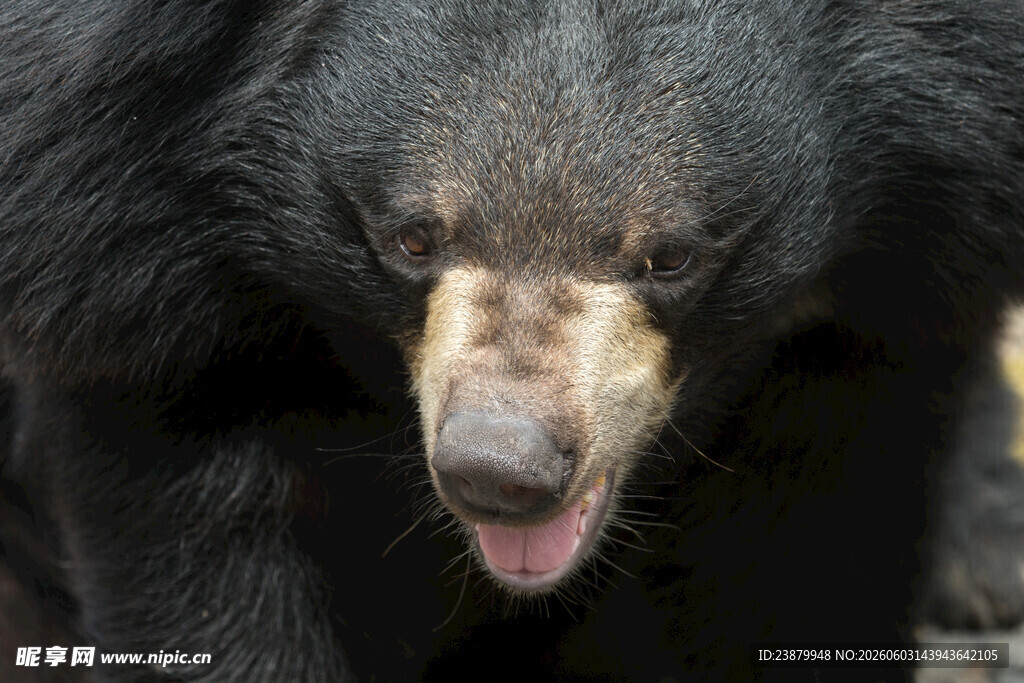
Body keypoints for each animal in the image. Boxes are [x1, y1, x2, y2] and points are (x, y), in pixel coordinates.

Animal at [1, 0, 1024, 681]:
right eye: (412, 238)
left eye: (671, 255)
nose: (500, 472)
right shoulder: (136, 273)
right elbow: (205, 558)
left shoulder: (878, 312)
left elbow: (809, 551)